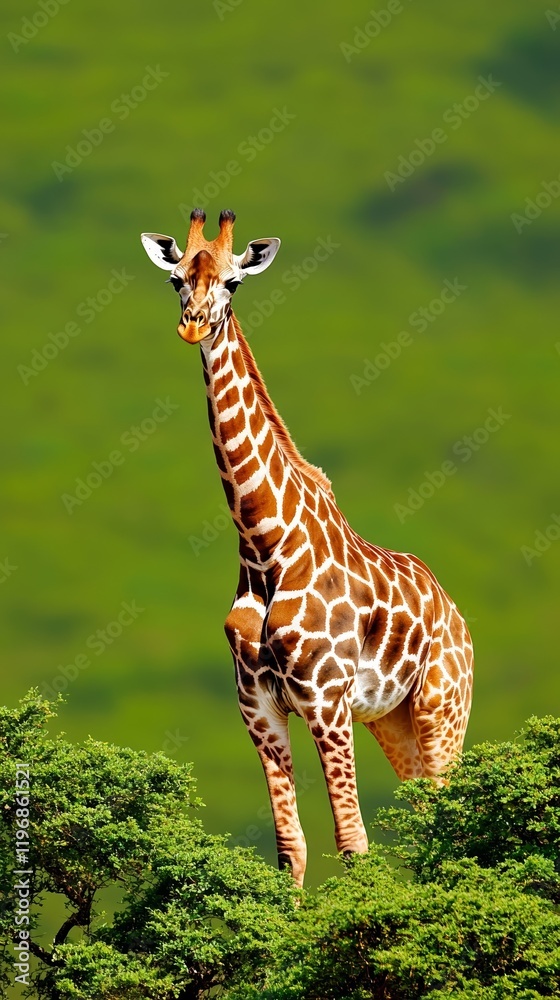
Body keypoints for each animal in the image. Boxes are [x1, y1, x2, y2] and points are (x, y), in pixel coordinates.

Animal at [141, 209, 474, 886]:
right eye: (176, 279)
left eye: (234, 281)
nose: (194, 324)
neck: (264, 545)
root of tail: (460, 621)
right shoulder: (257, 708)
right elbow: (289, 847)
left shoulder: (325, 699)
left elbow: (351, 840)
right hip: (393, 720)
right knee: (429, 820)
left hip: (440, 708)